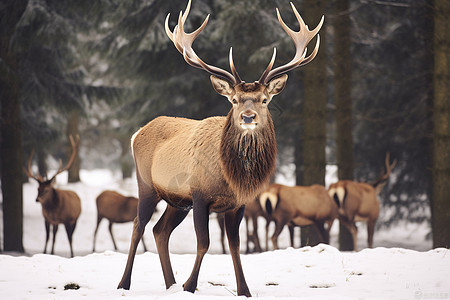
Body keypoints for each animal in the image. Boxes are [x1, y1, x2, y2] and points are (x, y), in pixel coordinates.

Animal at [117, 0, 324, 296]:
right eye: (234, 100)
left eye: (264, 99)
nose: (248, 117)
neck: (230, 177)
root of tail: (137, 133)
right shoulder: (200, 195)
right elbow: (204, 242)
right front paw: (190, 286)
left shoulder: (238, 204)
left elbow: (236, 246)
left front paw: (244, 290)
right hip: (146, 185)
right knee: (138, 226)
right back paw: (124, 283)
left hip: (177, 200)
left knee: (160, 231)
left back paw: (169, 284)